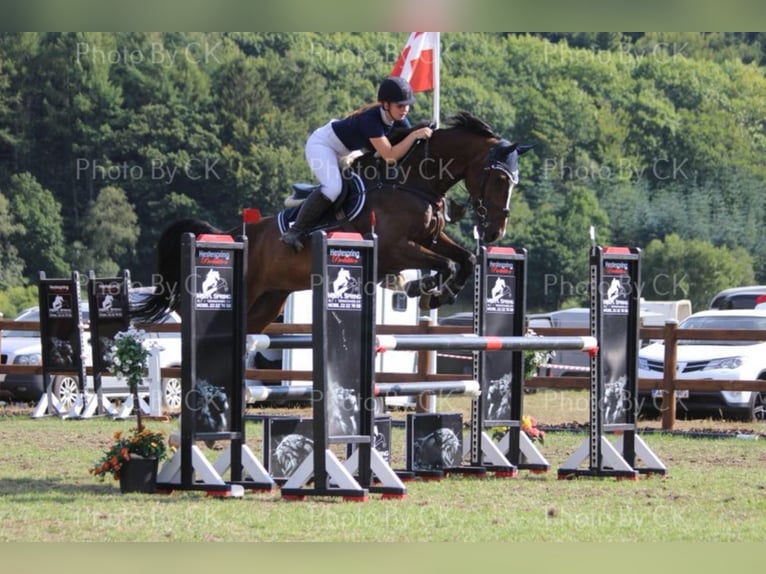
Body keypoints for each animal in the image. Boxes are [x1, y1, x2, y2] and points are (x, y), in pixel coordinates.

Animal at [132, 112, 532, 336]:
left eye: (514, 180)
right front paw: (427, 289)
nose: (495, 232)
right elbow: (446, 262)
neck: (412, 181)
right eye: (499, 178)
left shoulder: (431, 238)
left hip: (268, 301)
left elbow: (464, 259)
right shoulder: (395, 249)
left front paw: (436, 292)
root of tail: (229, 236)